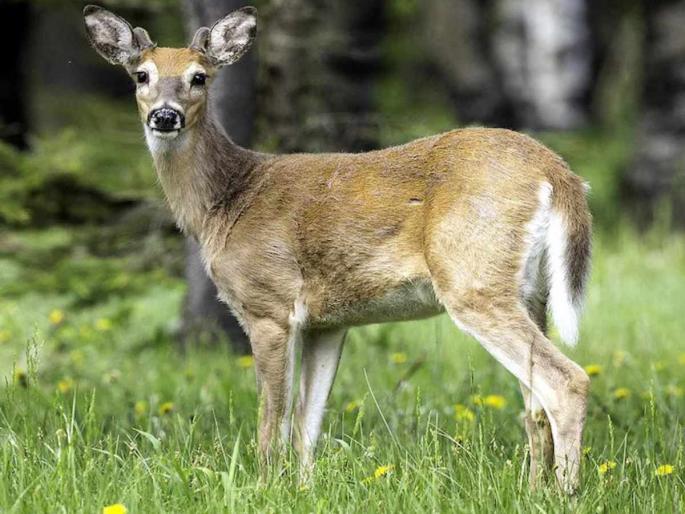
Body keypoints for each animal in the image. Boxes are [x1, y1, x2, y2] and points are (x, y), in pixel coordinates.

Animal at [83, 5, 592, 493]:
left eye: (199, 77)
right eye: (141, 75)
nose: (165, 116)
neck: (227, 203)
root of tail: (559, 173)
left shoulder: (269, 305)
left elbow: (273, 417)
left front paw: (264, 487)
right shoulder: (328, 322)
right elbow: (308, 422)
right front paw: (304, 489)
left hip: (472, 278)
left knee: (566, 381)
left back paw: (566, 492)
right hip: (531, 293)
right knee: (534, 406)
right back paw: (535, 490)